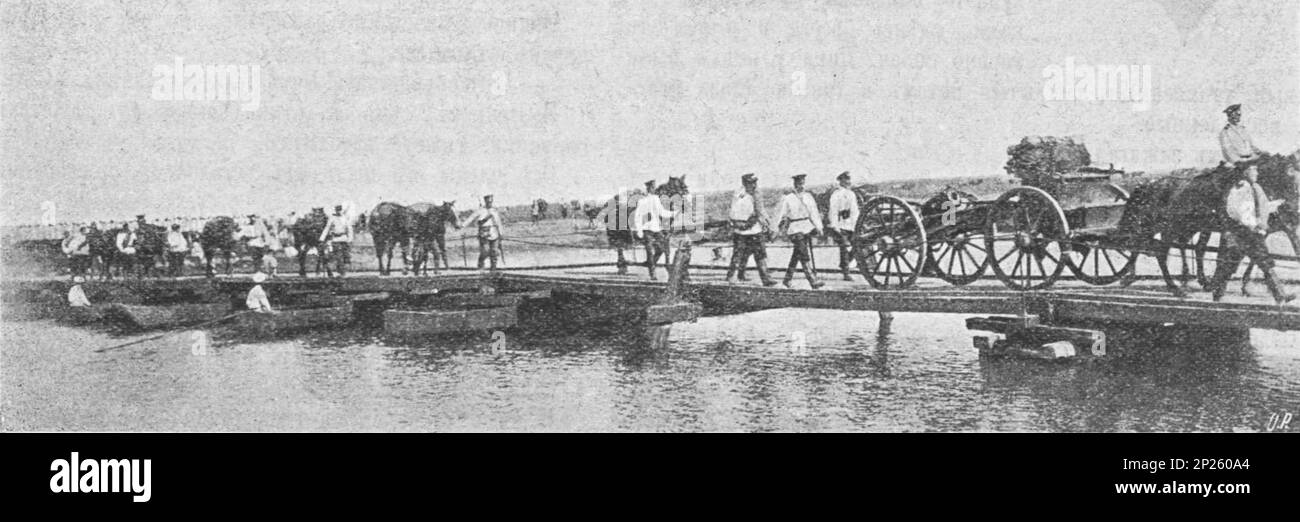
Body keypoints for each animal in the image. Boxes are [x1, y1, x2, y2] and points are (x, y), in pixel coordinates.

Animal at [1118, 150, 1300, 297]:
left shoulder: (1272, 227)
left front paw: (1243, 285)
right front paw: (1220, 284)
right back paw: (1172, 287)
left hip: (1175, 227)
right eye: (1289, 176)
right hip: (1163, 227)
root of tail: (1148, 184)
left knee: (1148, 247)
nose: (1295, 209)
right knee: (1157, 251)